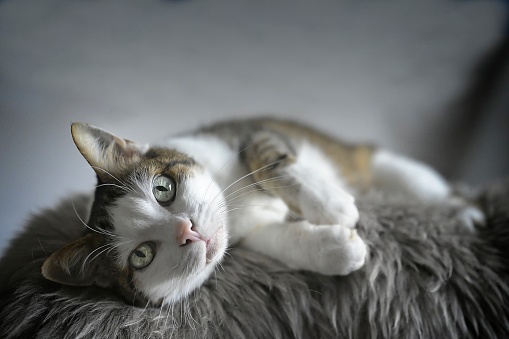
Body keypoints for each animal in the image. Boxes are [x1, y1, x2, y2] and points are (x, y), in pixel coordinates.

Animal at [40, 117, 484, 308]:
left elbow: (269, 156)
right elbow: (279, 239)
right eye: (141, 256)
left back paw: (464, 212)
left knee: (432, 187)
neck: (232, 202)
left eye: (162, 189)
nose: (189, 230)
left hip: (393, 169)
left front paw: (331, 205)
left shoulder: (247, 133)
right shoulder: (249, 234)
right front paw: (338, 248)